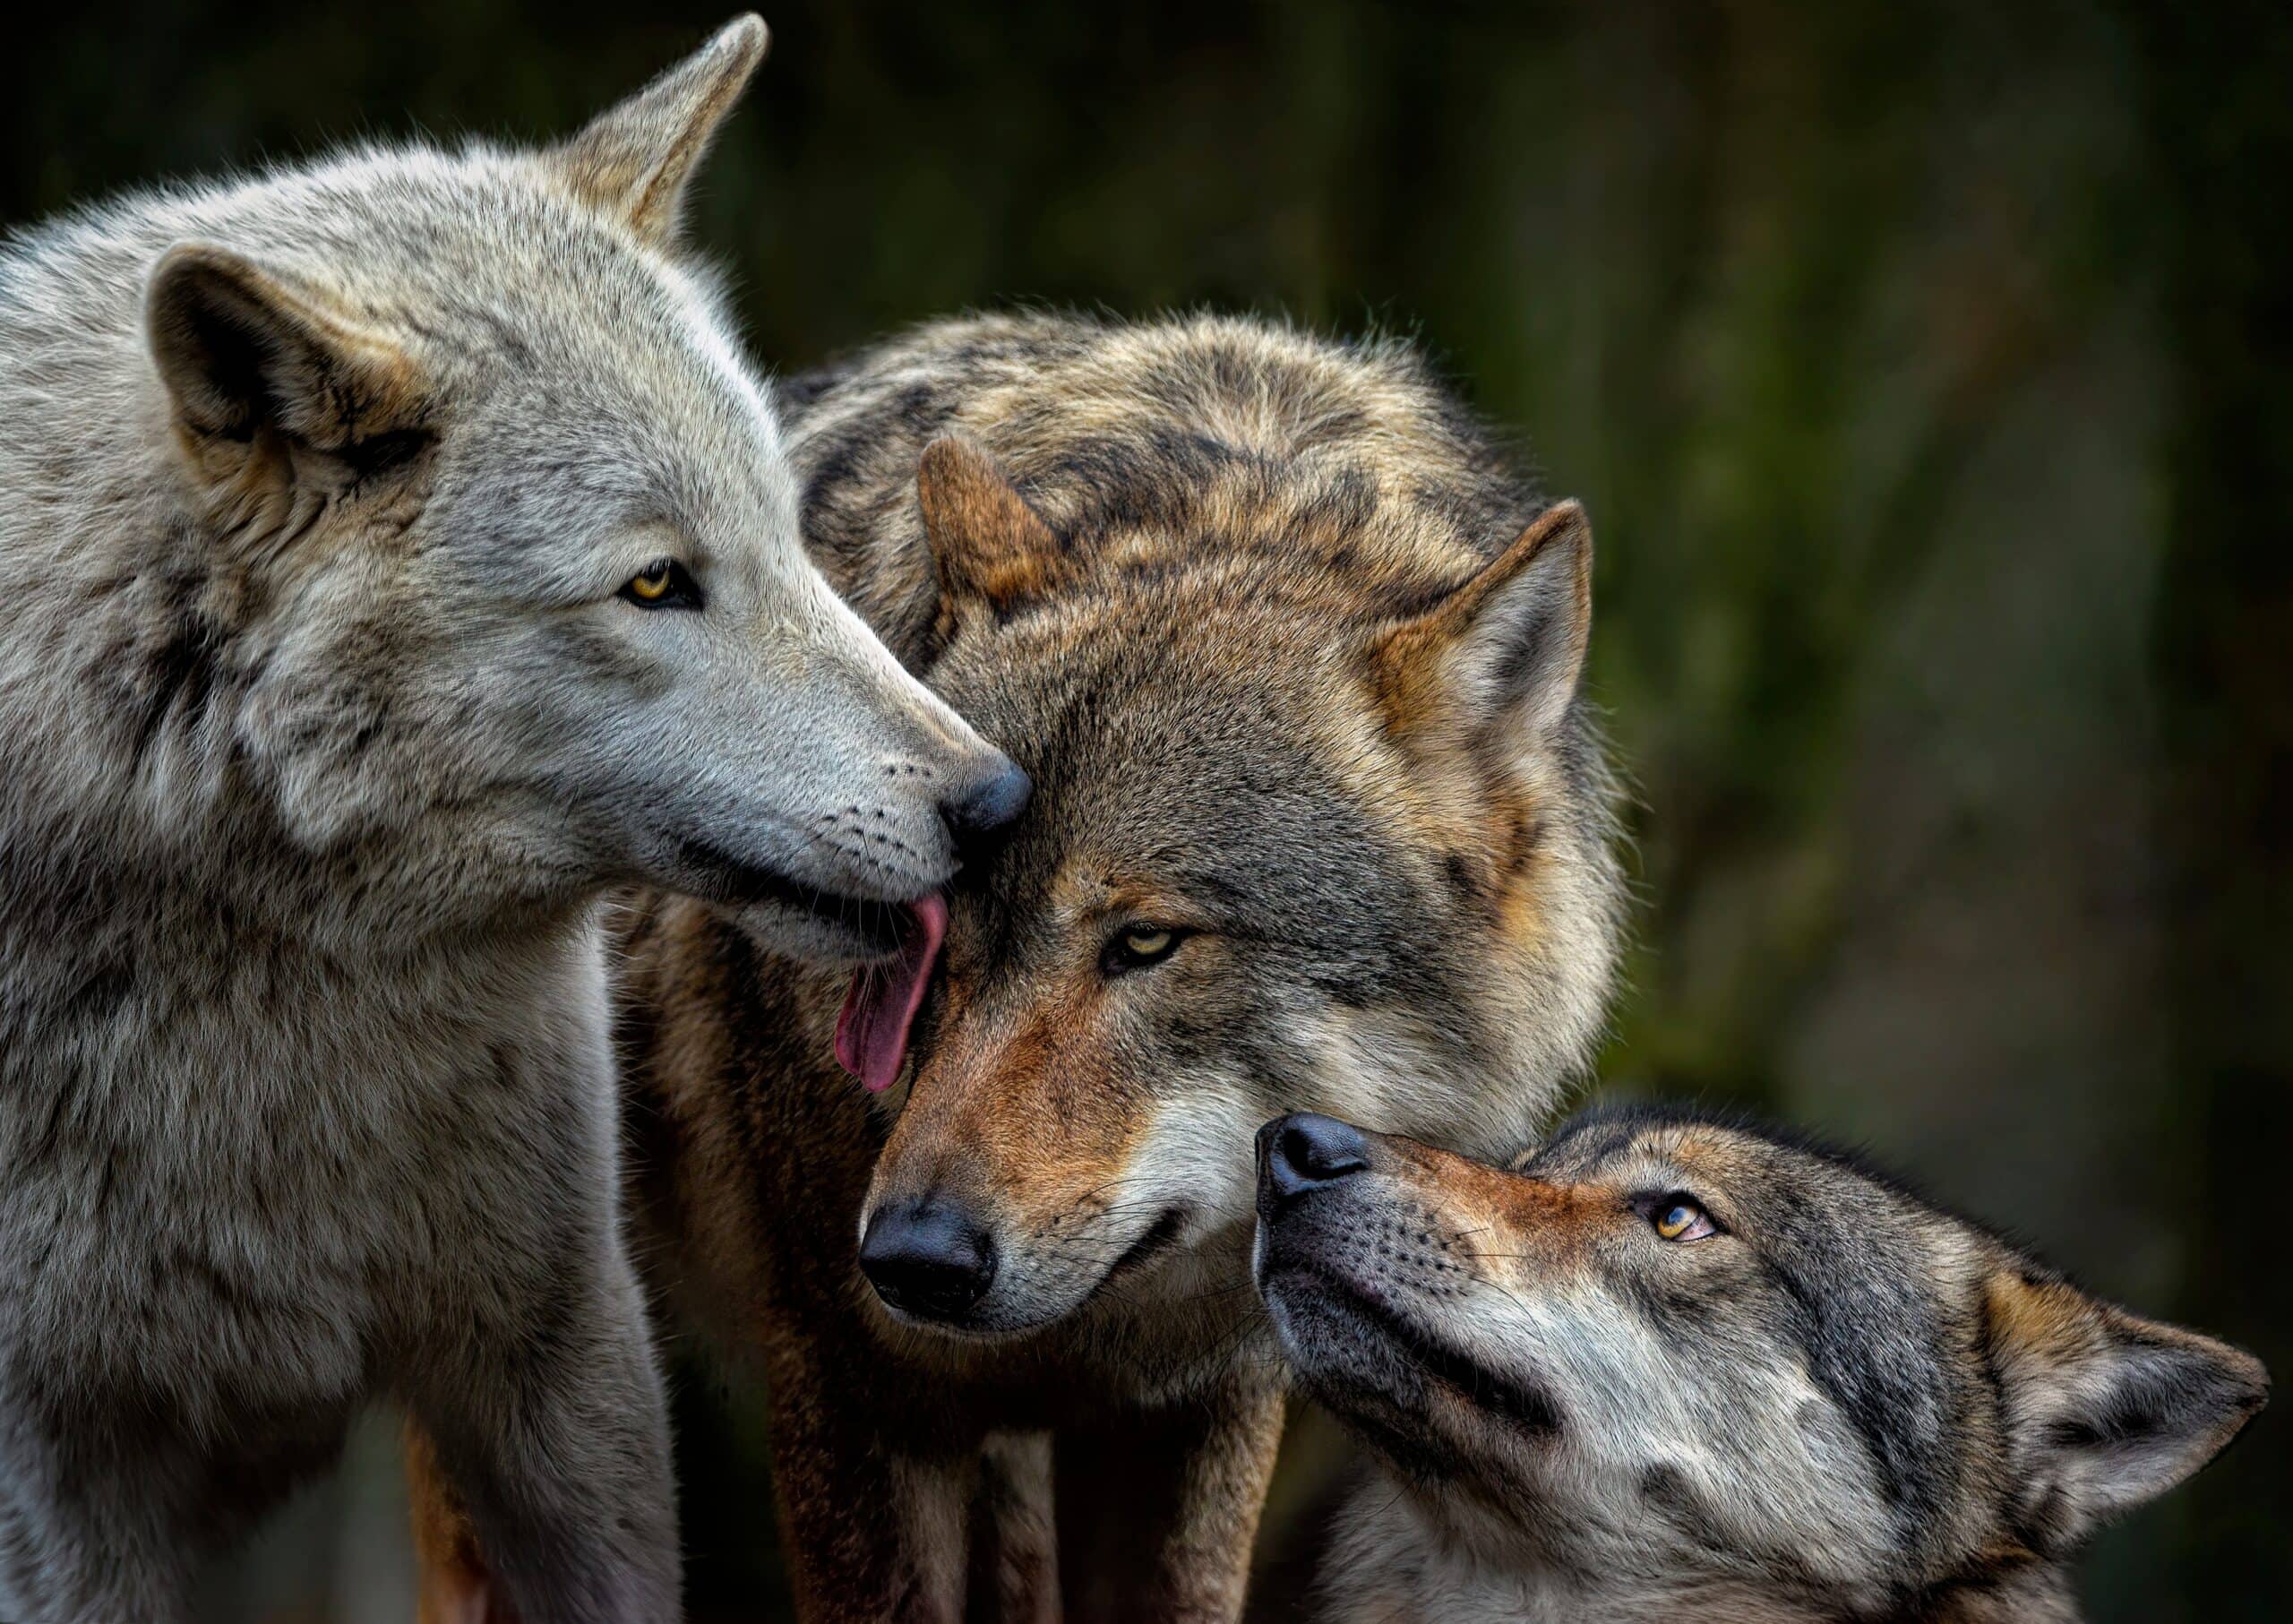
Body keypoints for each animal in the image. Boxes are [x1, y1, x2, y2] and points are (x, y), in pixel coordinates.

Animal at [408, 309, 1626, 1620]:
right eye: (925, 929)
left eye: (1144, 942)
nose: (912, 1259)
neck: (1231, 494)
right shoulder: (852, 1395)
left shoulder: (1201, 1414)